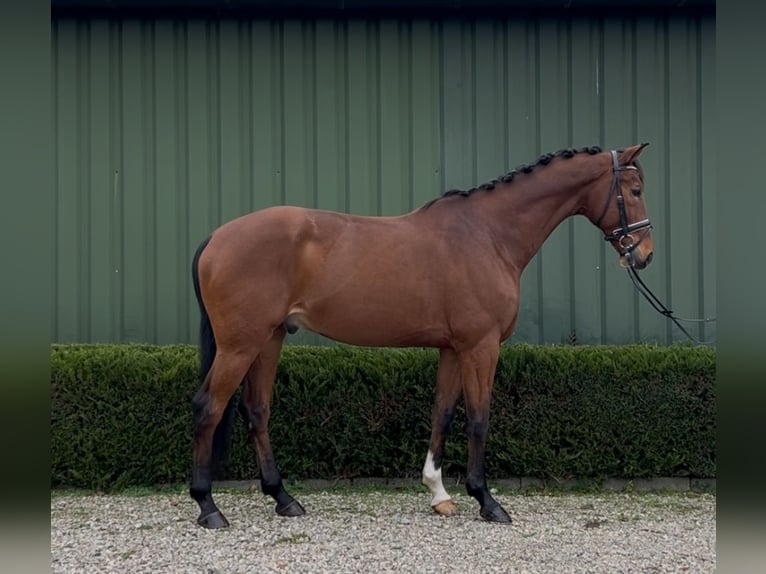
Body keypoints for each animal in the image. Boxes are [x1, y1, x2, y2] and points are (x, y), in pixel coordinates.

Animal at [188, 144, 656, 532]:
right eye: (634, 189)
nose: (644, 254)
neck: (488, 234)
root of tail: (216, 237)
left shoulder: (452, 349)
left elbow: (443, 414)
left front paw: (439, 493)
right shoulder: (481, 347)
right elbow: (479, 419)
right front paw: (487, 501)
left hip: (269, 339)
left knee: (257, 410)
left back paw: (283, 498)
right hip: (240, 345)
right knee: (208, 407)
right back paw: (208, 507)